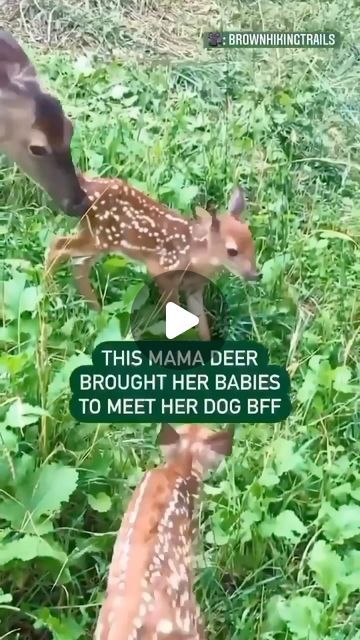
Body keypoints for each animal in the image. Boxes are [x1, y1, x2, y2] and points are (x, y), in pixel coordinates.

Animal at [45, 172, 262, 338]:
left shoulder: (195, 288)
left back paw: (96, 312)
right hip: (102, 238)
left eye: (252, 242)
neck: (194, 256)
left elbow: (202, 328)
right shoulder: (161, 269)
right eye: (232, 251)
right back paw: (51, 295)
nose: (256, 274)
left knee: (77, 262)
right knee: (58, 245)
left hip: (95, 237)